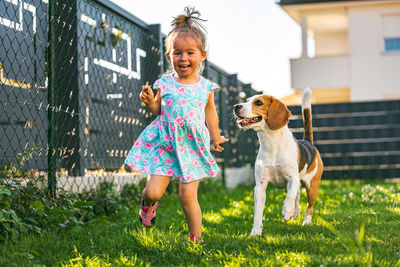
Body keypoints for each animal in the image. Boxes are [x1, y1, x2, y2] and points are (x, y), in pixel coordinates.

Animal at [233, 89, 324, 237]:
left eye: (258, 102)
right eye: (246, 100)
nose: (236, 106)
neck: (271, 144)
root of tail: (308, 142)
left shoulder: (292, 178)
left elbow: (290, 195)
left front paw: (286, 211)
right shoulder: (260, 186)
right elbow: (258, 212)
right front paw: (255, 231)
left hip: (312, 186)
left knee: (308, 206)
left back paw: (305, 222)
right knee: (298, 194)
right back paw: (295, 212)